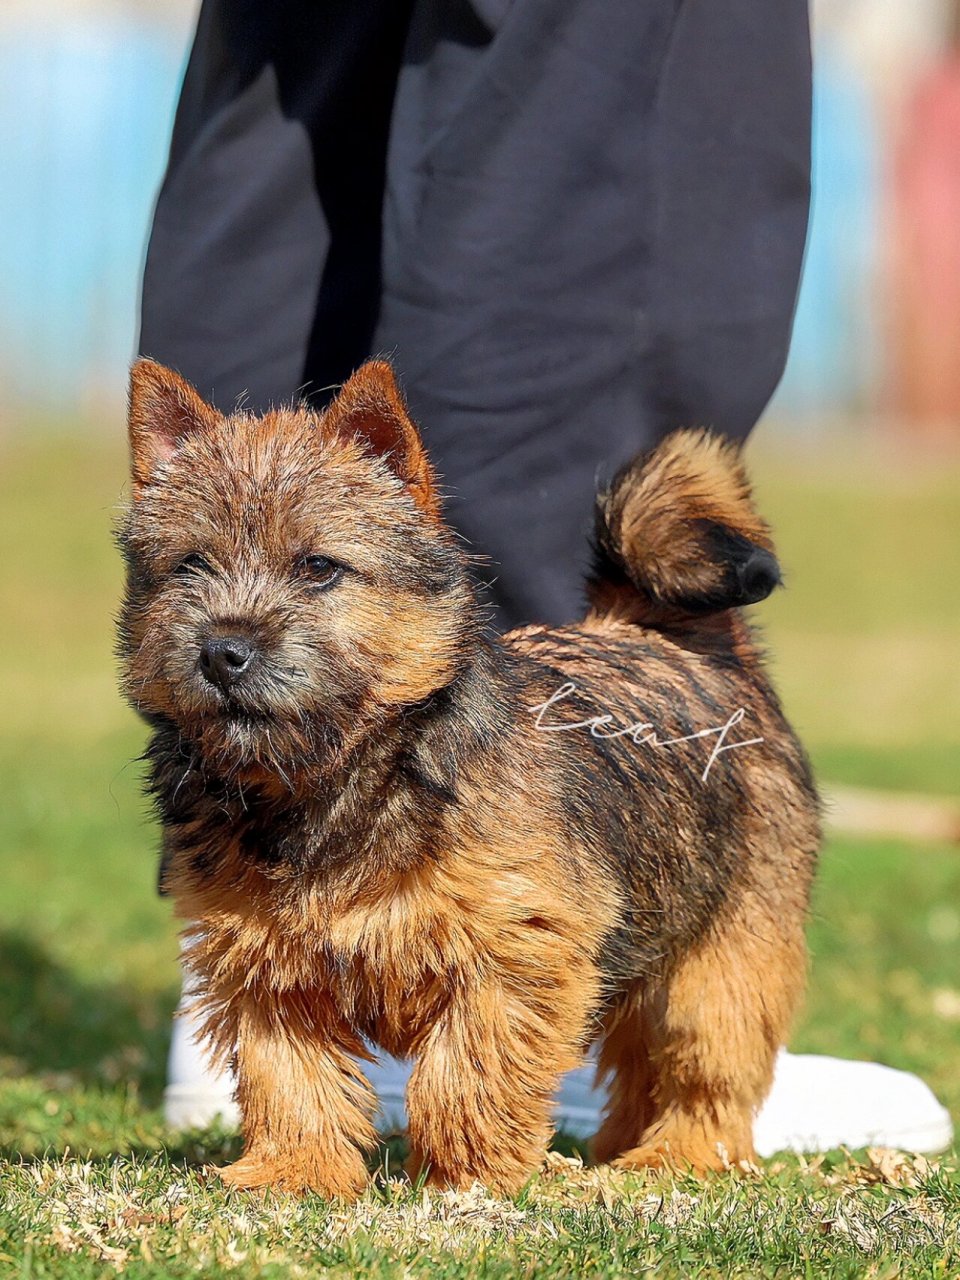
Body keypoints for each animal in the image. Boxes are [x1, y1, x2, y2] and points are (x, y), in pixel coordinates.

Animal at [118, 358, 819, 1198]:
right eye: (190, 566)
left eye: (319, 567)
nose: (223, 651)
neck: (330, 787)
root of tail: (684, 642)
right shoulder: (268, 967)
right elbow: (289, 1077)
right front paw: (295, 1172)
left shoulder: (512, 952)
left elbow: (470, 1072)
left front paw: (467, 1176)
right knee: (641, 1070)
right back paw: (619, 1149)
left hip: (722, 956)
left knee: (707, 1070)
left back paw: (675, 1157)